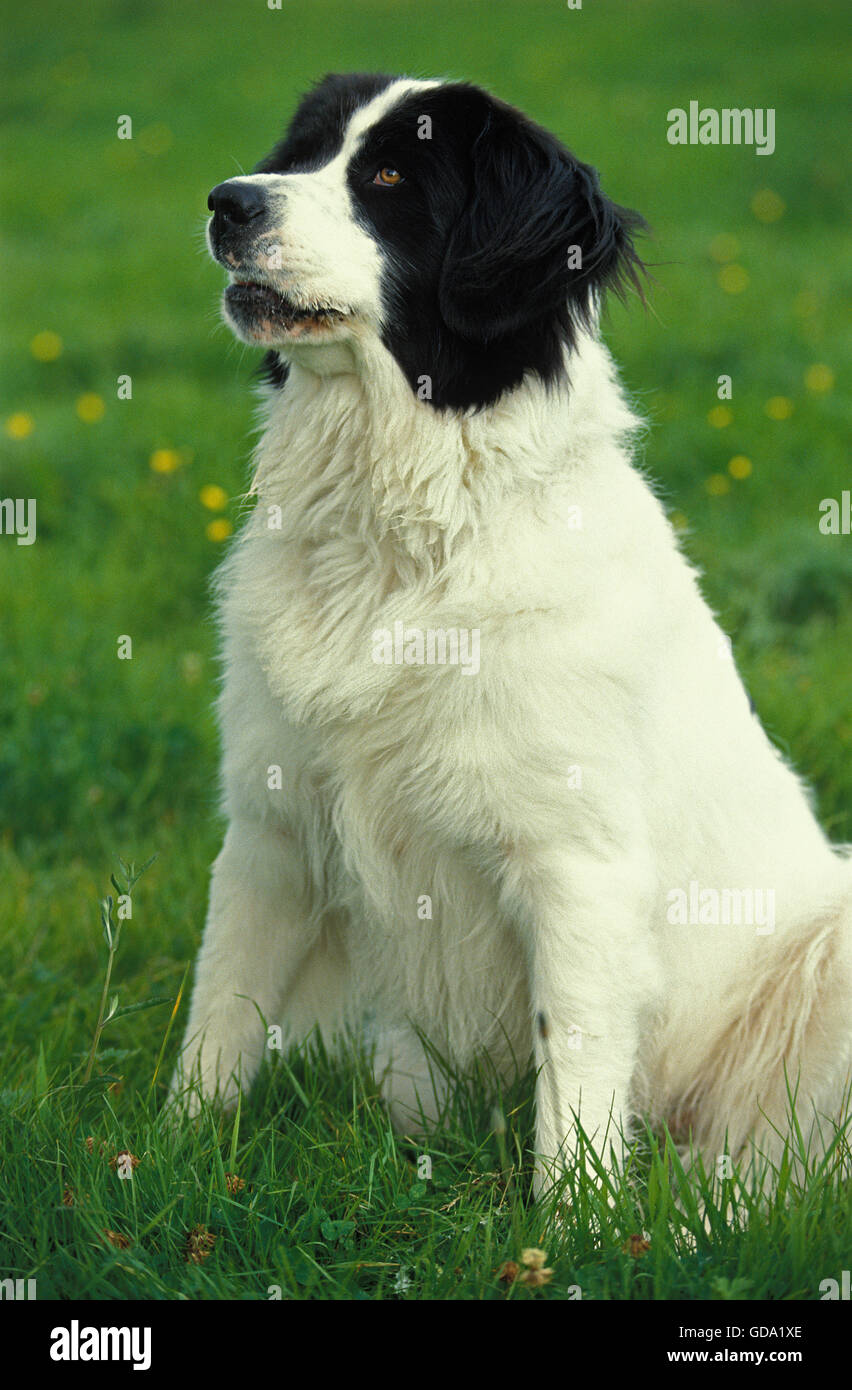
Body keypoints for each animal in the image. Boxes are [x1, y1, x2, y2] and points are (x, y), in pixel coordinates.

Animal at [173, 70, 850, 1189]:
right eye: (302, 153)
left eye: (391, 178)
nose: (229, 203)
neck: (402, 540)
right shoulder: (271, 831)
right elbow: (218, 1016)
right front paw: (165, 1157)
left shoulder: (578, 867)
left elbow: (571, 1072)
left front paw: (576, 1219)